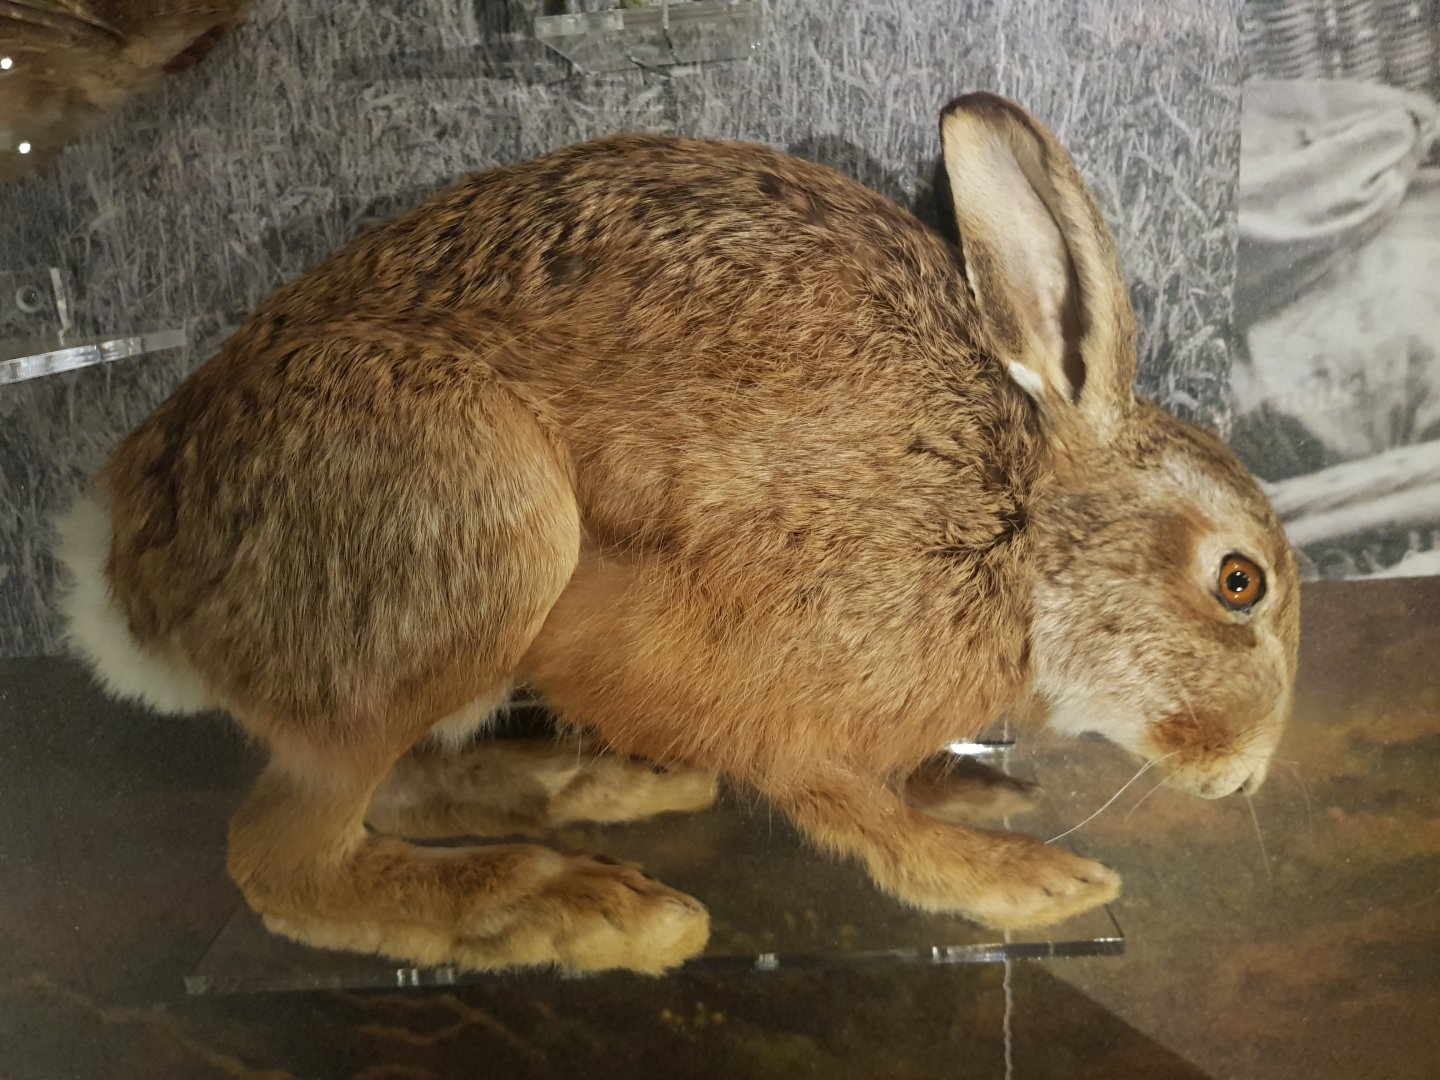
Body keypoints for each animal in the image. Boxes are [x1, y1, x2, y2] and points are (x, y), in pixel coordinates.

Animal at [55, 92, 1300, 975]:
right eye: (1237, 582)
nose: (1247, 778)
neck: (1019, 530)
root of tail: (123, 561)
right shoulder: (783, 683)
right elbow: (839, 801)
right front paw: (1016, 876)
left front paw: (977, 791)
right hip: (475, 532)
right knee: (285, 852)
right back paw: (569, 910)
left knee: (395, 788)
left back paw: (600, 791)